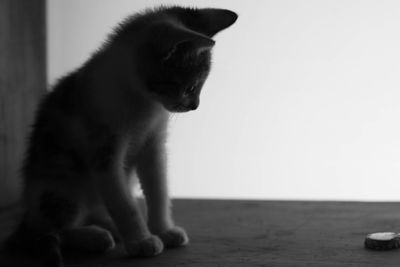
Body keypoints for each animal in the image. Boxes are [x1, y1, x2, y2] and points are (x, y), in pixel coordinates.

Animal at [5, 4, 238, 267]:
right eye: (190, 87)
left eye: (199, 87)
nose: (195, 106)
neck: (144, 103)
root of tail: (27, 215)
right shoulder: (104, 150)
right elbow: (124, 203)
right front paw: (141, 241)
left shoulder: (153, 144)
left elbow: (158, 189)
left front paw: (163, 229)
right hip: (59, 186)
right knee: (47, 231)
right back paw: (95, 236)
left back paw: (109, 226)